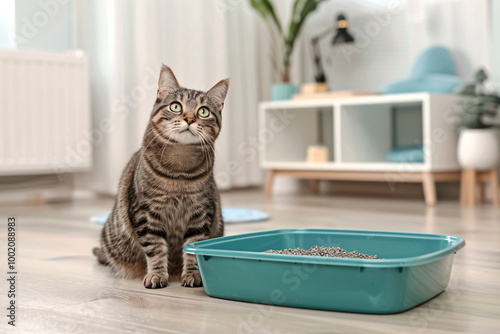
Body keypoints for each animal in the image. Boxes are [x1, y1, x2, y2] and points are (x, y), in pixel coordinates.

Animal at [93, 65, 228, 288]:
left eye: (203, 111)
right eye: (176, 107)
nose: (189, 119)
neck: (180, 169)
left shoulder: (200, 214)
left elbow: (192, 248)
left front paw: (193, 274)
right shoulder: (146, 214)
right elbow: (155, 248)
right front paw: (156, 274)